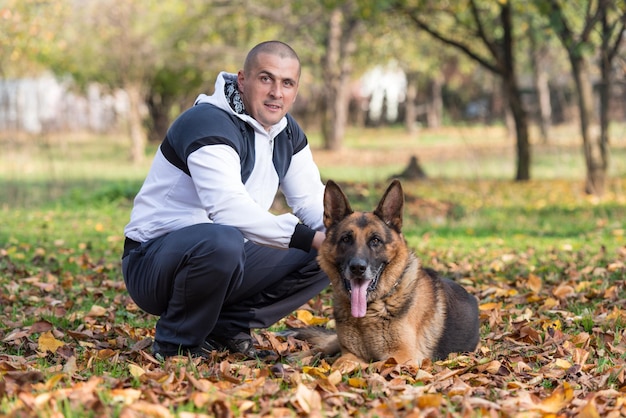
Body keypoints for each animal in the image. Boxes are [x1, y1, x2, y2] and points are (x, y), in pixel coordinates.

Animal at [294, 180, 480, 366]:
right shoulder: (349, 352)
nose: (357, 268)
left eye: (375, 240)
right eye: (346, 239)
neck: (371, 309)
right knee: (325, 346)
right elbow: (340, 363)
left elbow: (371, 365)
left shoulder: (404, 357)